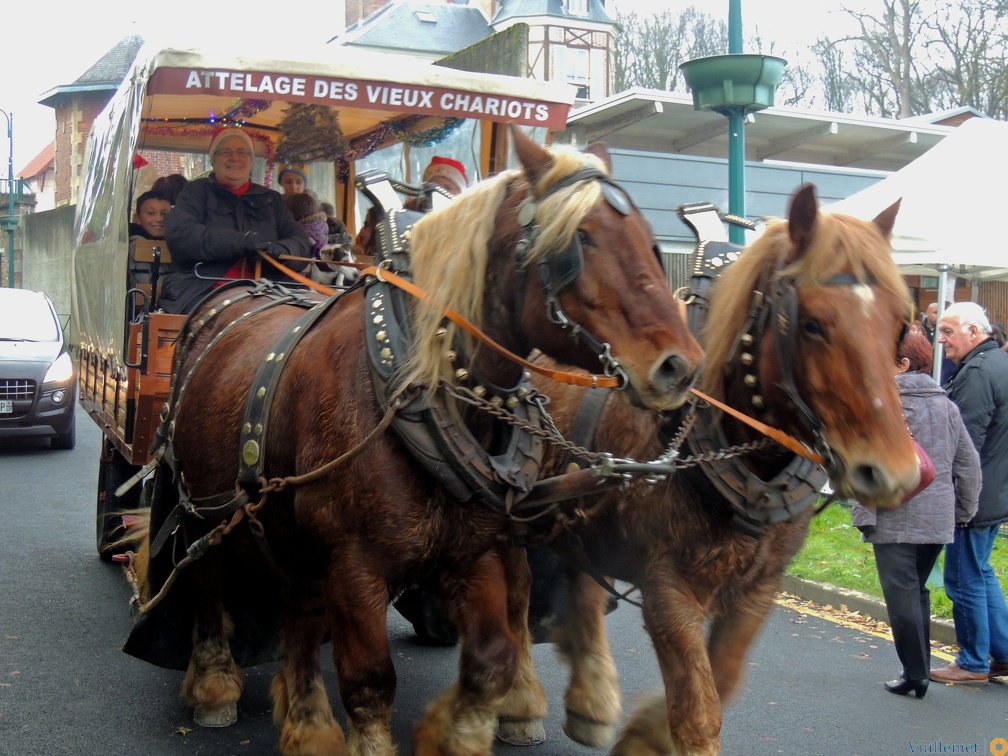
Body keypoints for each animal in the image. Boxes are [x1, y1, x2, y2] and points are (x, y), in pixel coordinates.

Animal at [121, 130, 701, 756]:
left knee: (298, 608)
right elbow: (370, 681)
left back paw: (308, 723)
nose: (680, 367)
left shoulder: (475, 549)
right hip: (201, 510)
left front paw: (462, 731)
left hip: (287, 528)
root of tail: (237, 291)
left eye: (648, 239)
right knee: (206, 585)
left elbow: (493, 656)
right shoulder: (354, 564)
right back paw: (214, 686)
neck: (411, 392)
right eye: (581, 240)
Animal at [520, 185, 923, 756]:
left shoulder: (759, 588)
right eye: (813, 324)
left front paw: (644, 735)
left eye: (899, 326)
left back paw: (590, 700)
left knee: (581, 581)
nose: (895, 473)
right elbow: (698, 707)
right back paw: (521, 701)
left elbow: (724, 678)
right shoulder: (668, 587)